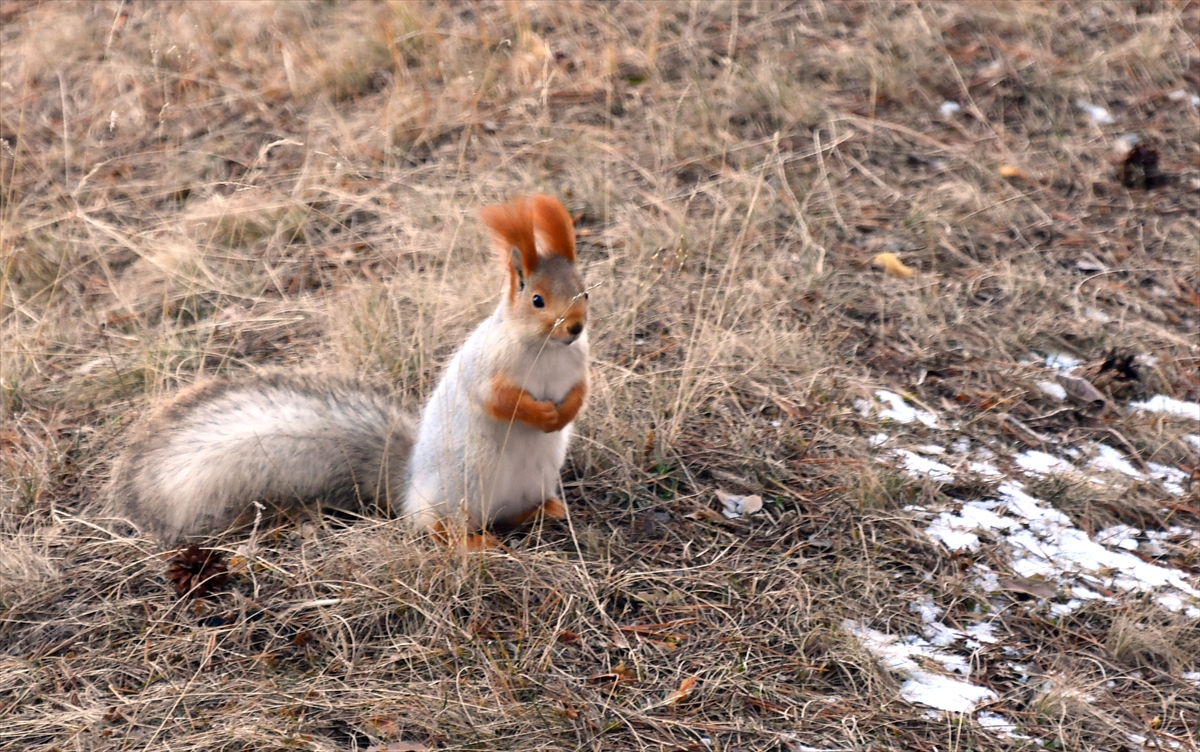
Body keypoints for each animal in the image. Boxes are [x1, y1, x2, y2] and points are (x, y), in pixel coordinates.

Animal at [110, 195, 588, 546]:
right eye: (537, 300)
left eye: (584, 290)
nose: (576, 327)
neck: (546, 349)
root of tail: (406, 487)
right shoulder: (485, 367)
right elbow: (499, 399)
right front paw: (540, 413)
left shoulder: (579, 364)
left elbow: (580, 391)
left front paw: (563, 413)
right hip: (457, 493)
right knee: (436, 528)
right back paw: (471, 542)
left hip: (528, 483)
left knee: (510, 516)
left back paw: (545, 511)